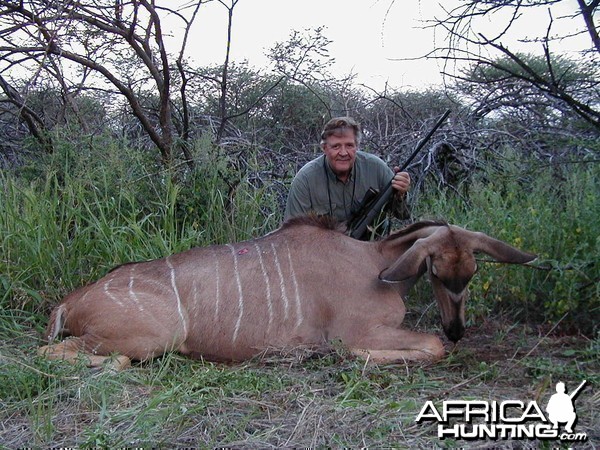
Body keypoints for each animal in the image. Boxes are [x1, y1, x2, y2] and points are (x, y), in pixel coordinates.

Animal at [38, 217, 536, 370]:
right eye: (436, 270)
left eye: (472, 272)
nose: (457, 329)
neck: (374, 262)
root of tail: (72, 301)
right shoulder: (359, 331)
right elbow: (428, 346)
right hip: (149, 338)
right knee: (61, 354)